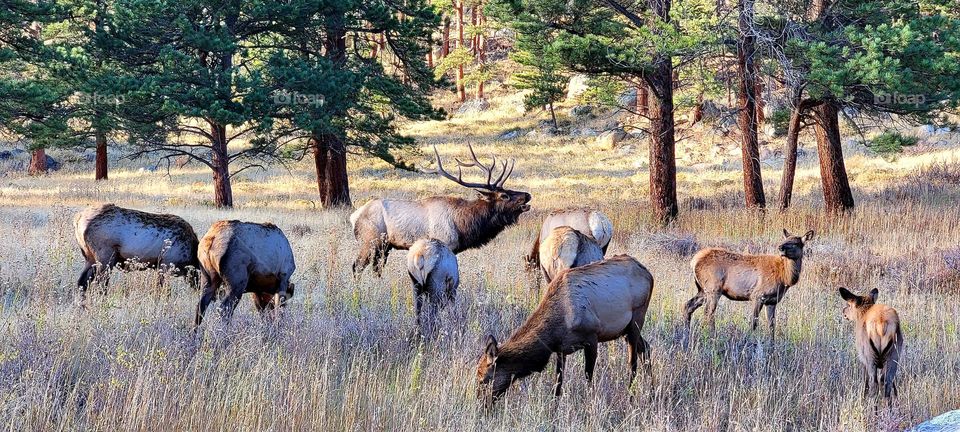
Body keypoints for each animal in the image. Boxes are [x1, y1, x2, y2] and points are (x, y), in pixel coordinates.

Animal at [350, 144, 531, 277]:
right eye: (504, 195)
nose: (527, 195)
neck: (462, 225)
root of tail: (354, 216)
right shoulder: (444, 244)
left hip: (384, 246)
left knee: (376, 269)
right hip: (370, 240)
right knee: (356, 266)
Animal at [476, 255, 654, 406]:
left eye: (483, 379)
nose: (481, 405)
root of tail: (649, 274)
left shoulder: (592, 337)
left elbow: (588, 376)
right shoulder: (561, 349)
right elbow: (558, 383)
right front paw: (554, 409)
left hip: (636, 319)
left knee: (632, 362)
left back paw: (631, 396)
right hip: (625, 330)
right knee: (646, 347)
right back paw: (651, 392)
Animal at [684, 229, 814, 338]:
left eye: (796, 243)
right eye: (785, 240)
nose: (780, 247)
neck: (784, 277)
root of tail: (694, 261)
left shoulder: (772, 301)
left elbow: (772, 326)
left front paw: (772, 345)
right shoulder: (758, 295)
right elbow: (754, 322)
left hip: (703, 289)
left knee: (688, 305)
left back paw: (686, 333)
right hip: (713, 289)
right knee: (708, 313)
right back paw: (712, 337)